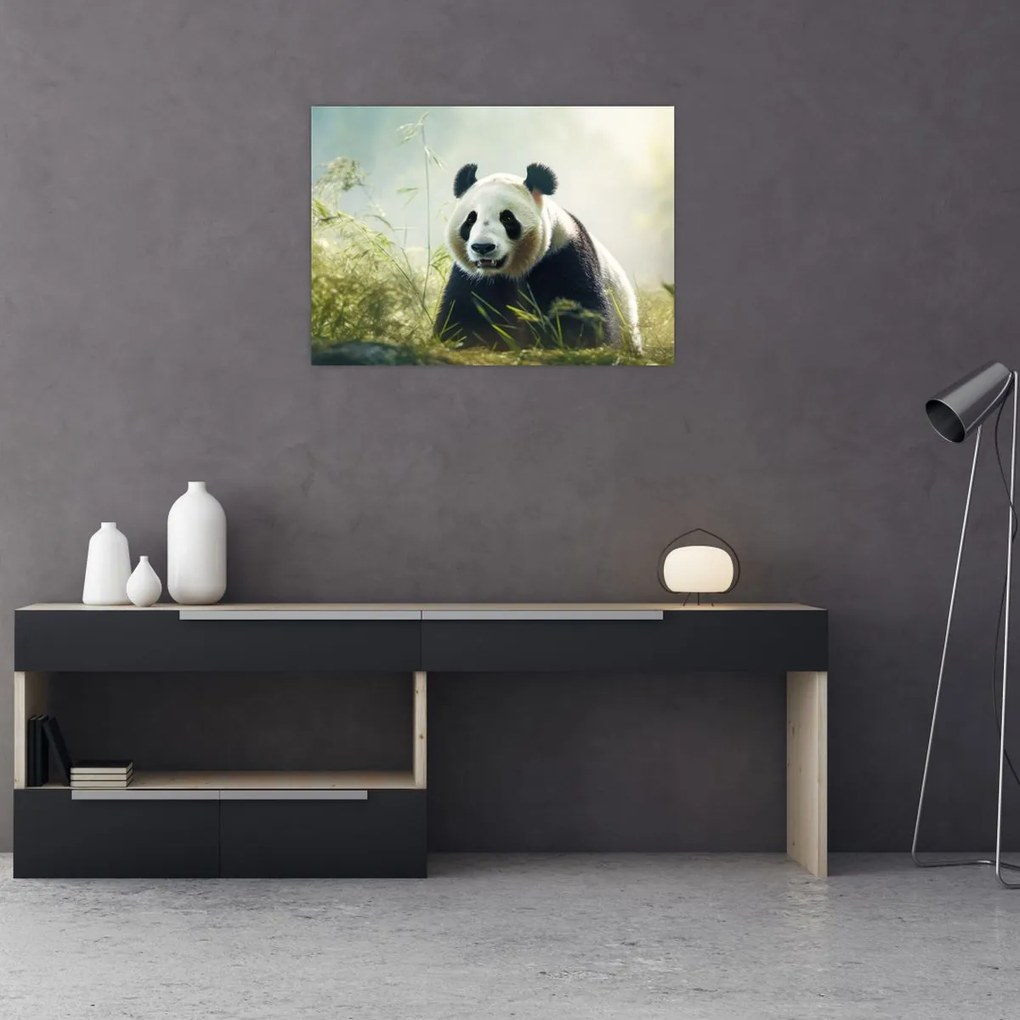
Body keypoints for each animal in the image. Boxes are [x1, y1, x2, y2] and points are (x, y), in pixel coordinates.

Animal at [436, 163, 642, 353]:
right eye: (471, 219)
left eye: (507, 218)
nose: (482, 247)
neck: (512, 271)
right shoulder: (471, 278)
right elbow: (462, 315)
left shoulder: (564, 256)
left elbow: (579, 314)